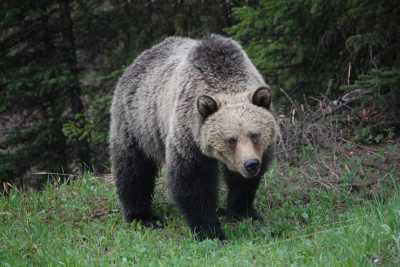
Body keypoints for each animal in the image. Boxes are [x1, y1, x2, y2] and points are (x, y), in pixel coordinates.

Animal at [108, 34, 278, 241]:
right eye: (231, 139)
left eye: (254, 134)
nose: (251, 164)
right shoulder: (188, 136)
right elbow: (193, 182)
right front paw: (211, 232)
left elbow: (243, 183)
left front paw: (244, 212)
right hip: (136, 122)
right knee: (133, 169)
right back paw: (143, 217)